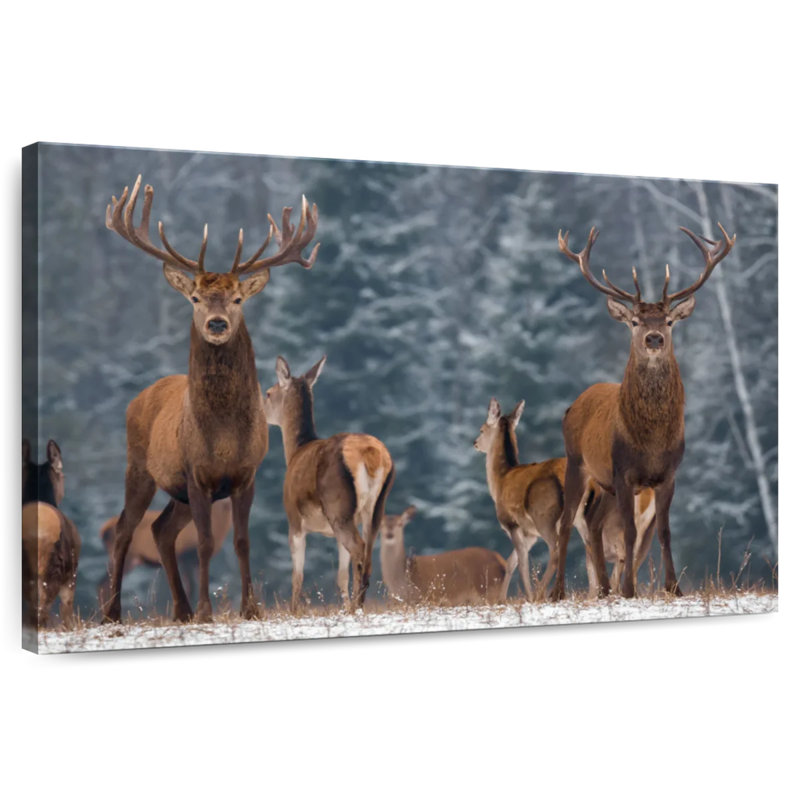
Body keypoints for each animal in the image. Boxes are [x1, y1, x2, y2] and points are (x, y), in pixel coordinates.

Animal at [97, 499, 232, 609]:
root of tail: (104, 531)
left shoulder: (193, 561)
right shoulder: (187, 557)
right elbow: (191, 586)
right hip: (128, 556)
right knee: (104, 582)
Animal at [263, 355, 395, 613]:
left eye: (268, 393)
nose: (260, 412)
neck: (294, 452)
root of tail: (372, 455)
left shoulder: (294, 518)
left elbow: (297, 575)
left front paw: (294, 610)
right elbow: (340, 576)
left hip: (338, 505)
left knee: (359, 548)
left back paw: (356, 606)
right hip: (375, 506)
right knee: (368, 553)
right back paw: (356, 605)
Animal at [380, 505, 508, 606]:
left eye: (400, 524)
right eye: (382, 524)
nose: (389, 534)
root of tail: (501, 560)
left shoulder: (428, 596)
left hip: (487, 588)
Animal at [474, 399, 656, 600]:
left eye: (482, 429)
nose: (475, 442)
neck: (500, 480)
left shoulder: (512, 523)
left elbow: (520, 563)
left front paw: (525, 596)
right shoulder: (530, 534)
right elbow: (510, 562)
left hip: (545, 516)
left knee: (557, 550)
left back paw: (544, 593)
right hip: (590, 520)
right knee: (603, 550)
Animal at [549, 222, 735, 600]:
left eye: (668, 321)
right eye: (635, 321)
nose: (653, 338)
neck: (650, 441)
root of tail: (575, 403)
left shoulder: (668, 474)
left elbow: (663, 531)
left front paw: (673, 588)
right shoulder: (623, 472)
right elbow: (630, 533)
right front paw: (629, 590)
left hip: (603, 482)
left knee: (593, 523)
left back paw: (604, 589)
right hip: (578, 463)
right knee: (566, 523)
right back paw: (559, 591)